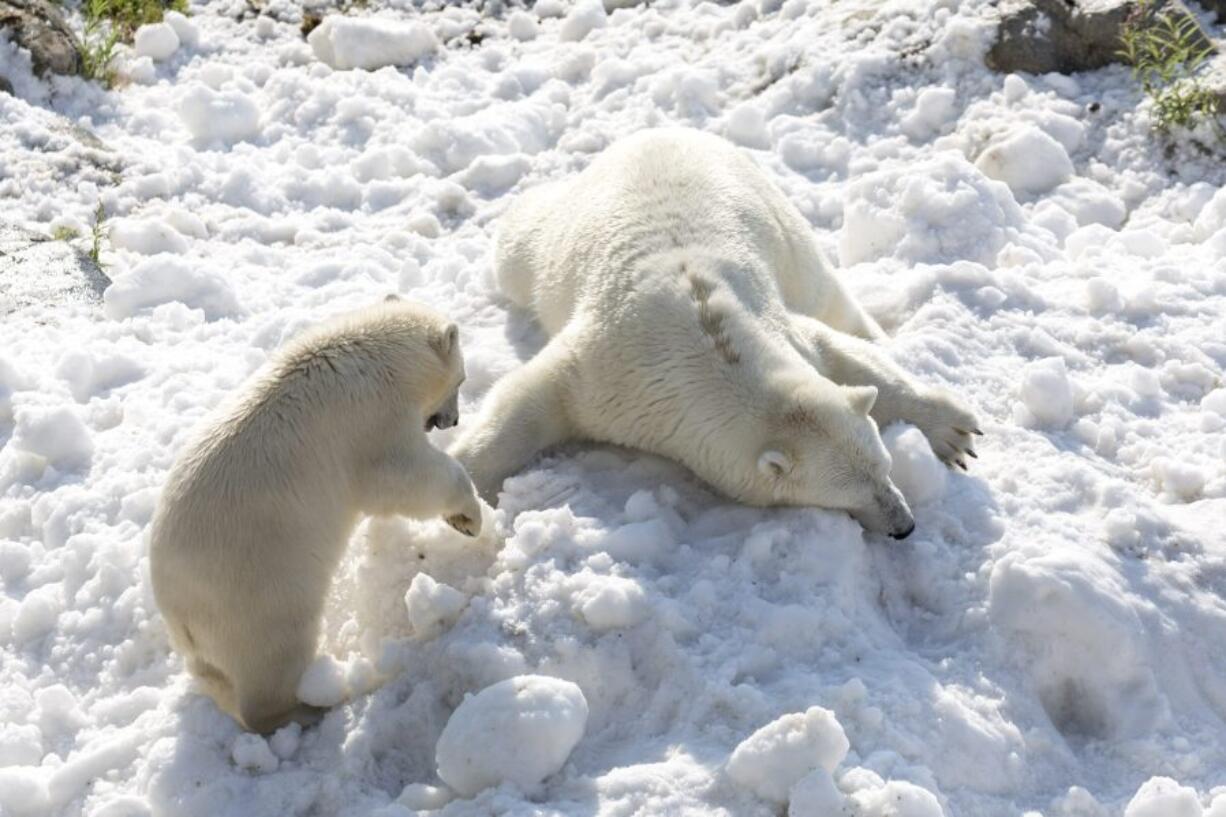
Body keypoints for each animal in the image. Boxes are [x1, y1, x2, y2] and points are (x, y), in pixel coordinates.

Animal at [451, 128, 975, 534]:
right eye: (847, 497)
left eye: (885, 468)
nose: (904, 526)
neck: (705, 341)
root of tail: (659, 131)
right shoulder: (607, 371)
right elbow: (530, 399)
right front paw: (461, 487)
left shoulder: (778, 328)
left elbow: (837, 352)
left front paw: (952, 431)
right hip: (555, 238)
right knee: (519, 244)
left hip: (780, 223)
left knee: (826, 294)